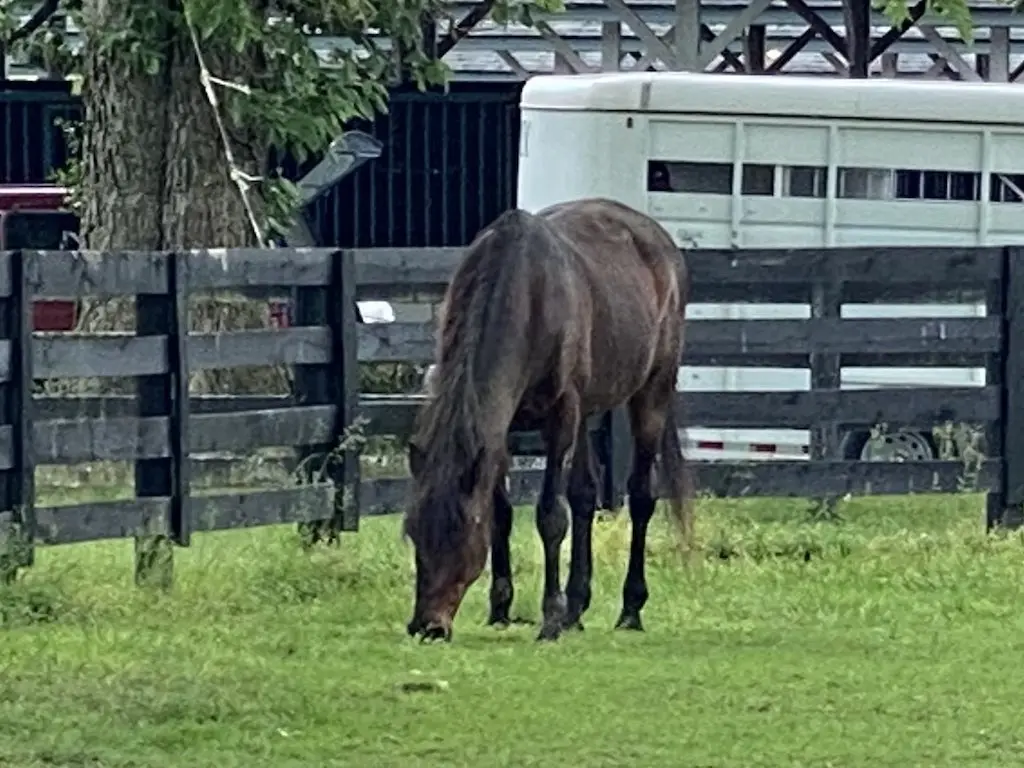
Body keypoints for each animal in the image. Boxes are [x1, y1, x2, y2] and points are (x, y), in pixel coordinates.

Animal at [403, 196, 692, 643]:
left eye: (459, 534)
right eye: (415, 533)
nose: (427, 626)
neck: (527, 296)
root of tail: (659, 239)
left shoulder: (561, 417)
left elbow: (551, 516)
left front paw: (550, 618)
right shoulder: (498, 429)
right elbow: (502, 514)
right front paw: (502, 607)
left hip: (651, 391)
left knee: (642, 495)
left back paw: (629, 610)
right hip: (590, 408)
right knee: (586, 495)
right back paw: (577, 608)